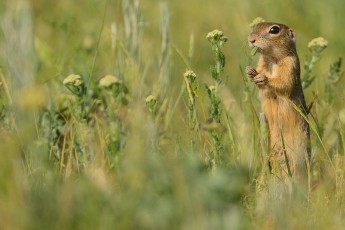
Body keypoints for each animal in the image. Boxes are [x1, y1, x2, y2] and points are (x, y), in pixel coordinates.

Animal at [245, 22, 310, 182]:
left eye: (274, 29)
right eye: (256, 26)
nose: (251, 40)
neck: (272, 59)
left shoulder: (290, 65)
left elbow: (283, 83)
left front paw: (263, 78)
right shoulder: (262, 63)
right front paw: (250, 71)